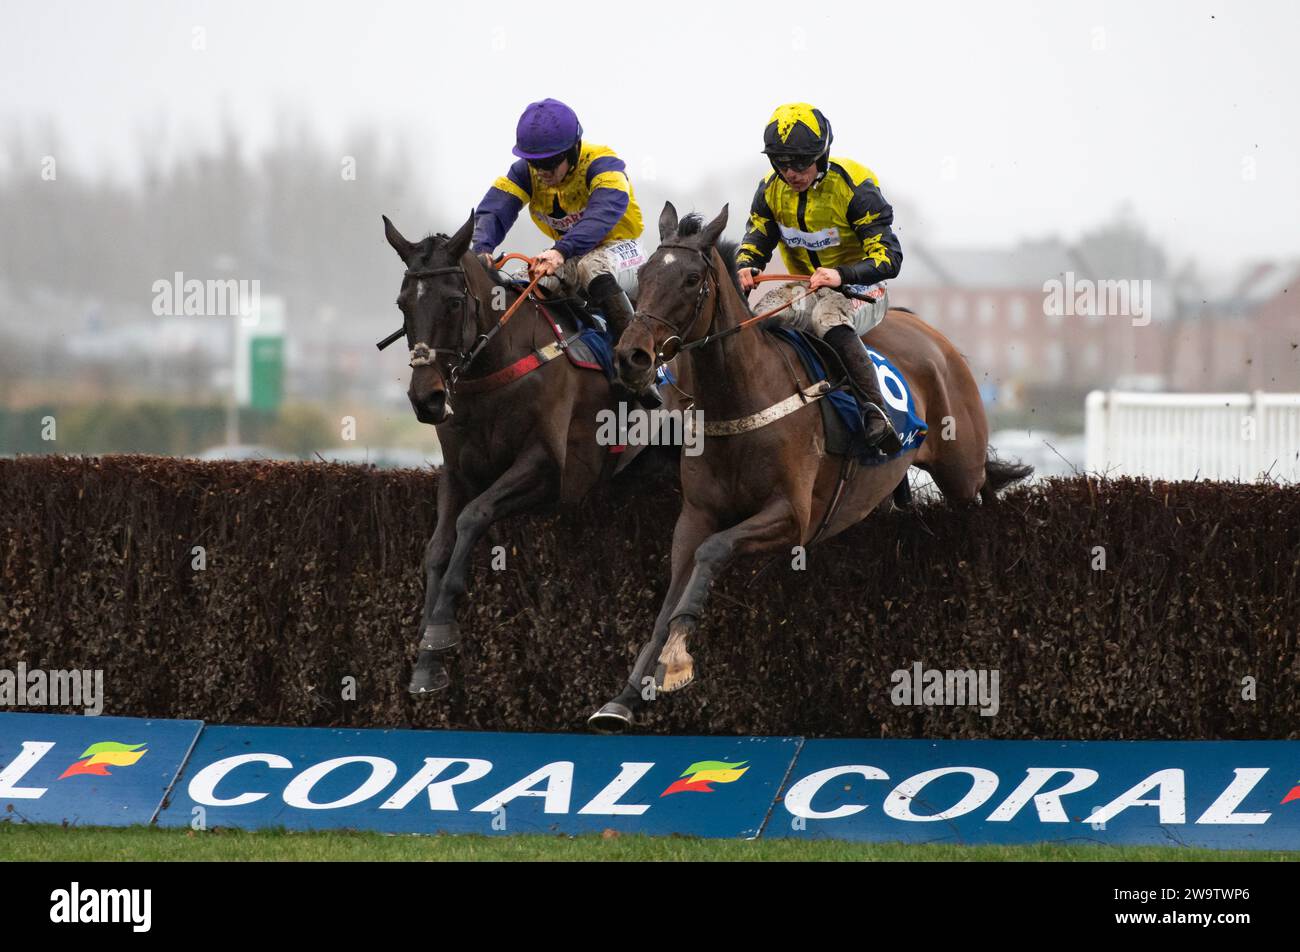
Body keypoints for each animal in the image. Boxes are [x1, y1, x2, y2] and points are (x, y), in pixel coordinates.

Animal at [379, 213, 665, 691]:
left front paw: (439, 630)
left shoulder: (551, 470)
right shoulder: (457, 471)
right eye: (403, 304)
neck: (497, 368)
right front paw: (425, 658)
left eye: (454, 302)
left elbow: (472, 516)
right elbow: (437, 546)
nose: (427, 399)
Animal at [587, 204, 1024, 733]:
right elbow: (670, 594)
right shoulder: (695, 514)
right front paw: (625, 697)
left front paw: (677, 654)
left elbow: (714, 552)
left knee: (982, 491)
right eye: (647, 273)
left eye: (691, 279)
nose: (631, 357)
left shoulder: (793, 516)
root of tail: (933, 336)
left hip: (959, 467)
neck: (742, 398)